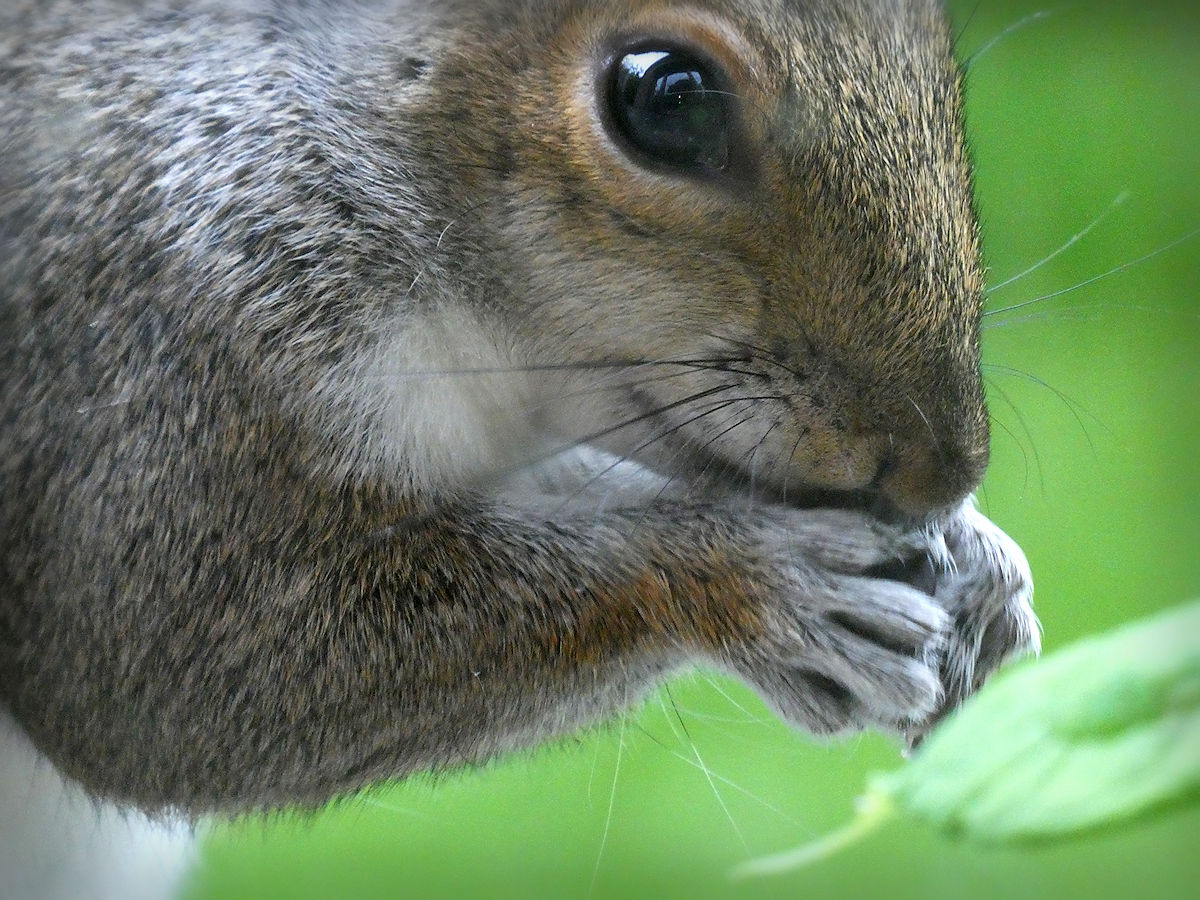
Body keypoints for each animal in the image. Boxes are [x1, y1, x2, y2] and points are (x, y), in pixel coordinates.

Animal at [0, 0, 1036, 816]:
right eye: (668, 96)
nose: (943, 473)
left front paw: (979, 561)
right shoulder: (157, 331)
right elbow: (175, 666)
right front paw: (761, 582)